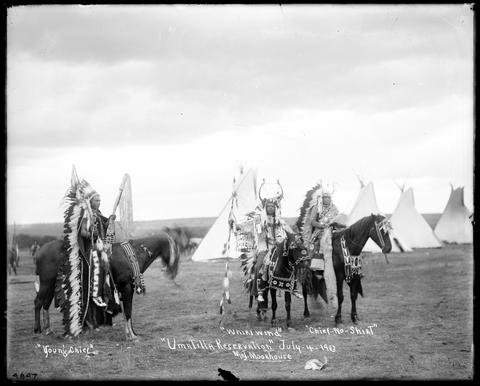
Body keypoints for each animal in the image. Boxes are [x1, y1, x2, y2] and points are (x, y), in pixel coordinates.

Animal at [33, 231, 180, 340]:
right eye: (175, 250)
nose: (173, 272)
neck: (133, 254)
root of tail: (40, 251)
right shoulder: (127, 288)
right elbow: (128, 310)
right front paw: (131, 336)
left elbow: (126, 311)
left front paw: (131, 333)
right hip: (46, 282)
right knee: (38, 302)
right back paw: (38, 330)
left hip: (52, 285)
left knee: (45, 303)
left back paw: (48, 330)